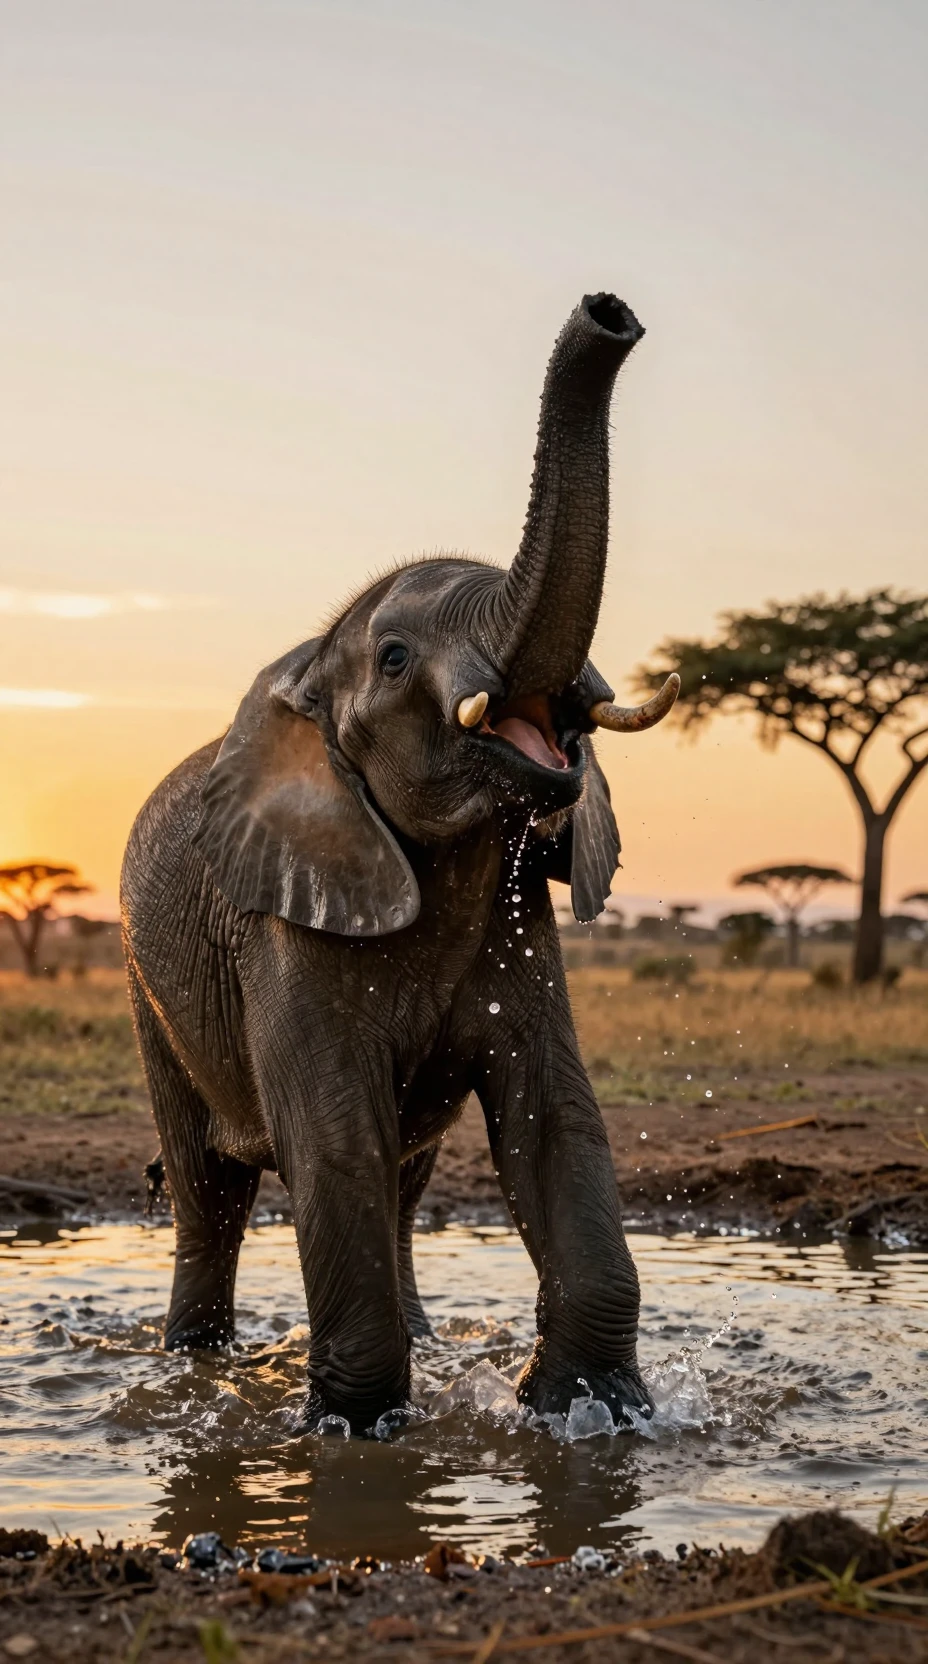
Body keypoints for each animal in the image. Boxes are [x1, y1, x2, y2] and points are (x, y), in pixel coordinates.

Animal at [121, 291, 680, 1435]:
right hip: (151, 995)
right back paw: (195, 1365)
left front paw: (592, 1416)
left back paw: (424, 1337)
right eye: (391, 660)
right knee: (210, 1192)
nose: (609, 313)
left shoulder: (519, 918)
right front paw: (355, 1434)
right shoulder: (282, 924)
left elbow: (553, 1118)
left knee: (404, 1183)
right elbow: (334, 1140)